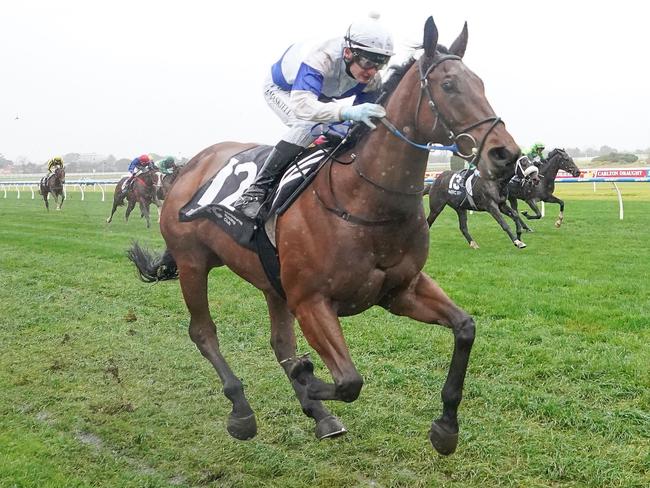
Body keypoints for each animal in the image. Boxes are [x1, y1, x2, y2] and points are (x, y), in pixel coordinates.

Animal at [126, 17, 520, 456]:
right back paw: (242, 411)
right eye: (449, 85)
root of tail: (188, 167)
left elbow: (465, 328)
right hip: (193, 262)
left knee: (280, 343)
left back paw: (319, 414)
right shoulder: (312, 300)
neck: (363, 201)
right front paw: (308, 377)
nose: (506, 155)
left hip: (271, 282)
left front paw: (446, 427)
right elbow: (349, 381)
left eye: (480, 83)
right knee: (203, 333)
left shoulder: (401, 290)